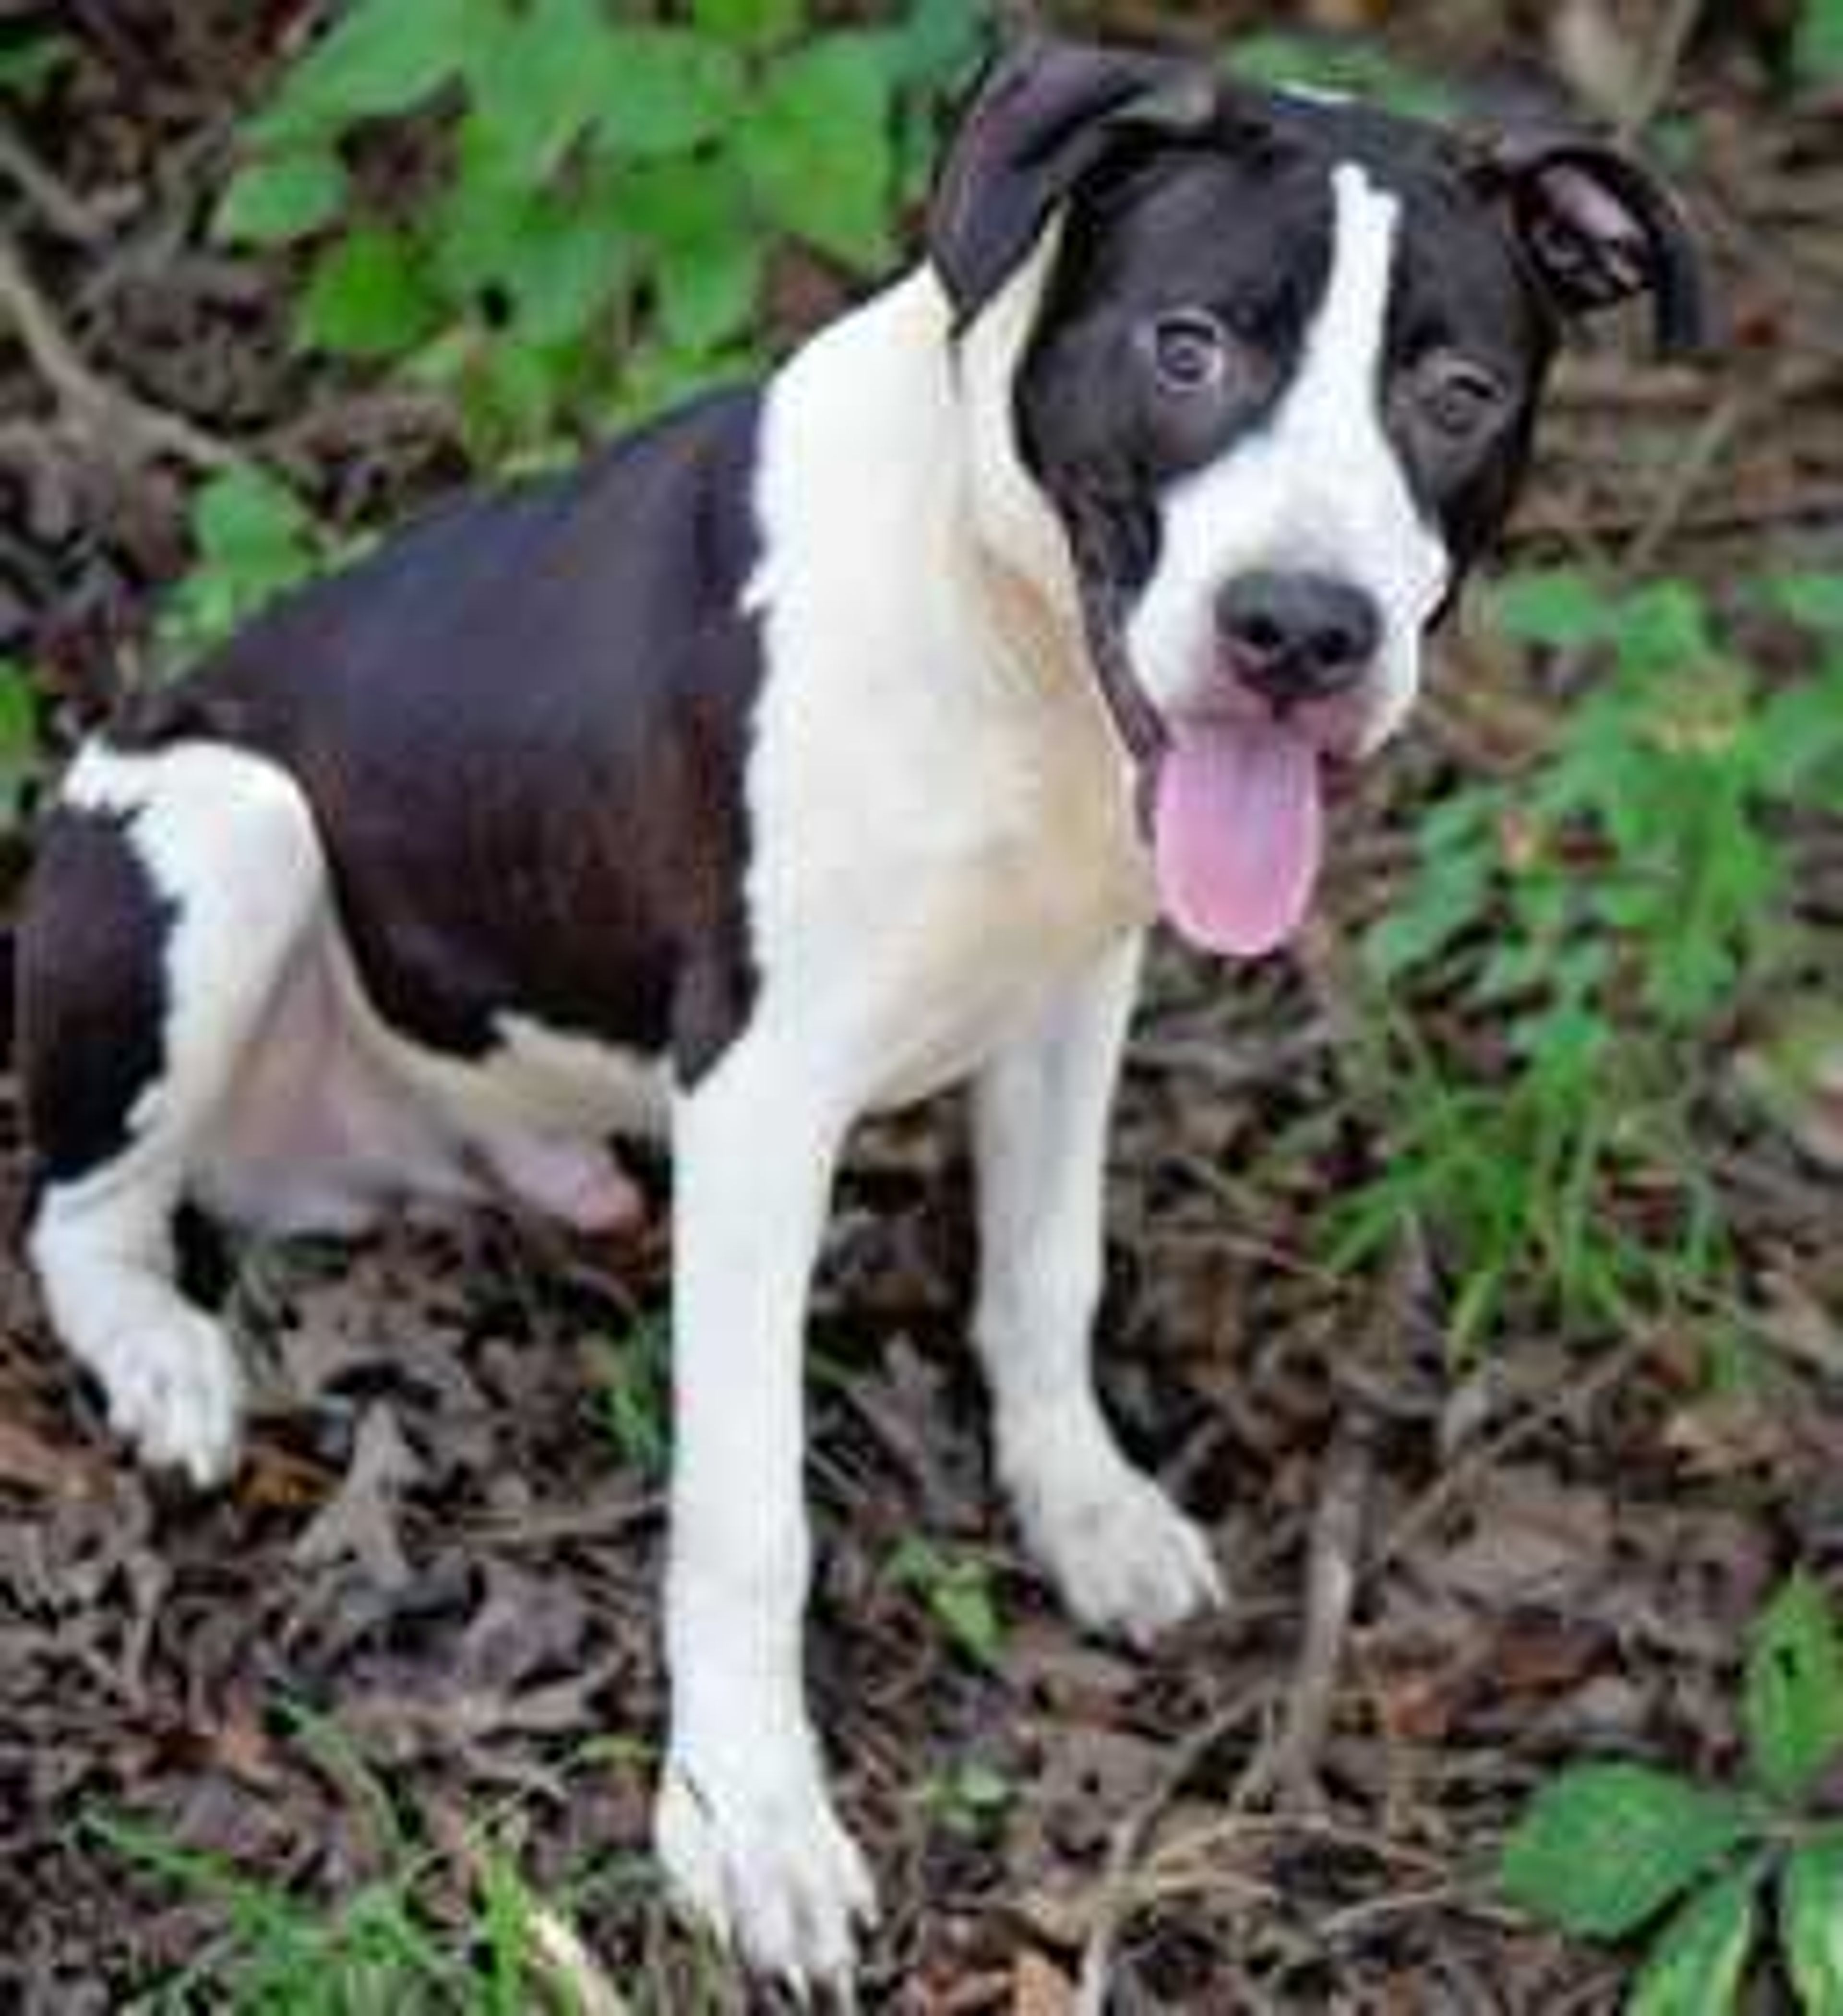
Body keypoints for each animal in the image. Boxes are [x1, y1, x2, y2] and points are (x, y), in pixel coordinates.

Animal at [14, 39, 1701, 1992]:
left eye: (1454, 392)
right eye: (1187, 345)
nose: (1301, 632)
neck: (1011, 630)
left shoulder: (1074, 990)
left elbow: (1047, 1272)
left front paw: (1083, 1504)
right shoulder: (759, 1093)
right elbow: (752, 1513)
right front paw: (749, 1821)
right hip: (227, 828)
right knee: (79, 1205)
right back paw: (164, 1354)